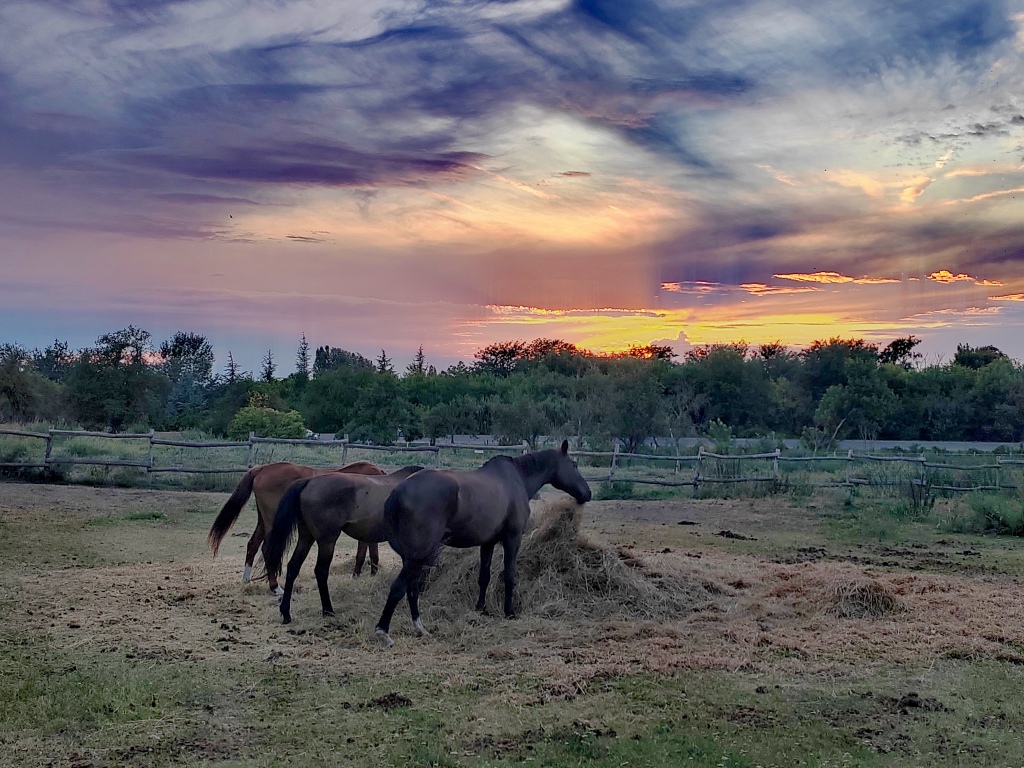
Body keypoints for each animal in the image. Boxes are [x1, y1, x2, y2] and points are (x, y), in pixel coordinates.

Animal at [209, 460, 385, 598]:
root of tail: (263, 469)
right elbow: (363, 552)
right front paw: (359, 576)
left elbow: (372, 552)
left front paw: (373, 575)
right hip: (273, 522)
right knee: (267, 548)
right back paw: (275, 588)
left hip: (264, 521)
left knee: (253, 544)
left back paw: (246, 580)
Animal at [266, 462, 425, 626]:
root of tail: (309, 482)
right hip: (327, 540)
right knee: (320, 570)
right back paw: (328, 610)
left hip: (306, 537)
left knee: (293, 567)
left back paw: (286, 613)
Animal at [376, 438, 589, 651]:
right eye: (574, 464)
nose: (587, 493)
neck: (516, 479)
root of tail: (397, 492)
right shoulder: (512, 539)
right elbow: (509, 576)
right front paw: (509, 612)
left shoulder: (488, 543)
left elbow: (484, 577)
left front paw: (481, 609)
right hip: (416, 557)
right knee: (398, 589)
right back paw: (383, 632)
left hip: (414, 558)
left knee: (412, 589)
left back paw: (420, 628)